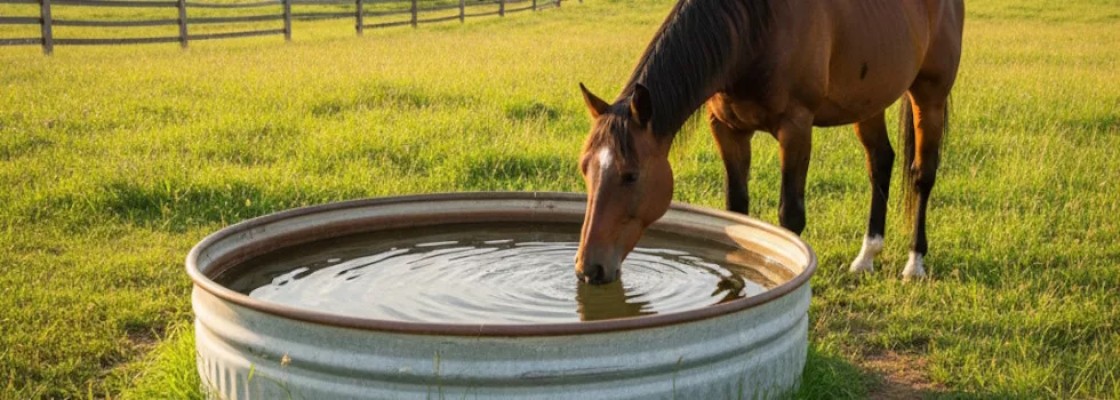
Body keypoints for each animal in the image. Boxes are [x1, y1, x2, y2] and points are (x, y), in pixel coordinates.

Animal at [575, 0, 964, 284]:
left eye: (631, 175)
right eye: (585, 170)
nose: (588, 269)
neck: (754, 29)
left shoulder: (796, 128)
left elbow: (790, 217)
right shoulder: (727, 130)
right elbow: (735, 213)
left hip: (930, 95)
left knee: (923, 175)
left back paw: (915, 264)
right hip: (869, 101)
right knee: (880, 162)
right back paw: (866, 257)